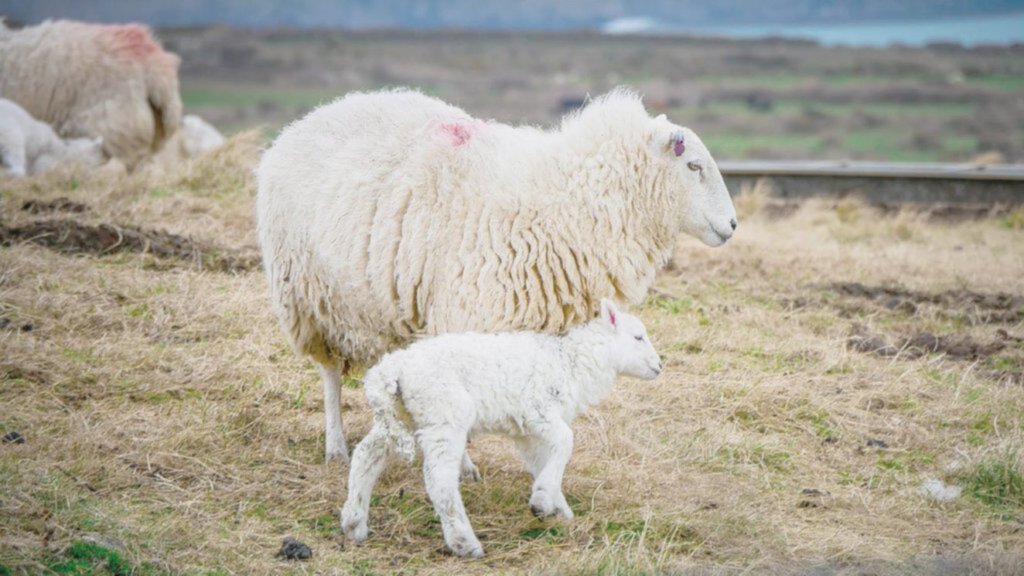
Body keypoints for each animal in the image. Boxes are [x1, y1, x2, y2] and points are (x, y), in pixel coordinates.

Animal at [256, 86, 737, 461]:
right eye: (693, 166)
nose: (732, 225)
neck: (568, 201)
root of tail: (307, 120)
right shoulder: (468, 316)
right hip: (309, 299)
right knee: (330, 377)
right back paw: (335, 445)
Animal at [342, 301, 663, 557]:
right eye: (638, 337)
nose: (660, 366)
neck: (571, 361)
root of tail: (391, 368)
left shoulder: (527, 432)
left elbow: (543, 461)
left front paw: (556, 507)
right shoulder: (537, 411)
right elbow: (566, 441)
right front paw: (543, 498)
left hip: (400, 415)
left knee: (366, 455)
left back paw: (354, 521)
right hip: (444, 414)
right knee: (440, 481)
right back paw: (464, 543)